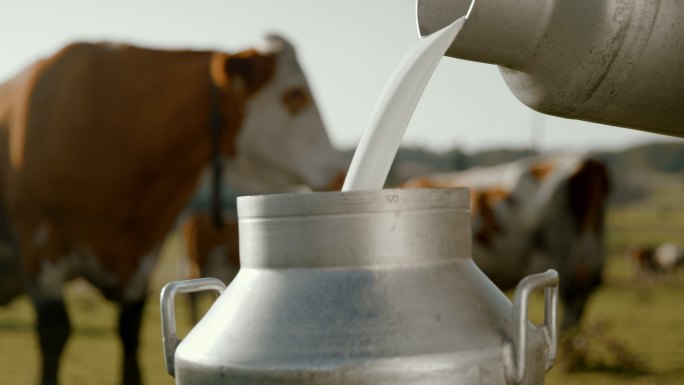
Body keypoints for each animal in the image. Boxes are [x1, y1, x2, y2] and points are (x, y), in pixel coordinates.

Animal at [0, 35, 344, 384]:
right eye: (296, 95)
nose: (338, 174)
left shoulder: (142, 260)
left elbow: (130, 335)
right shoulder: (41, 251)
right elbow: (55, 333)